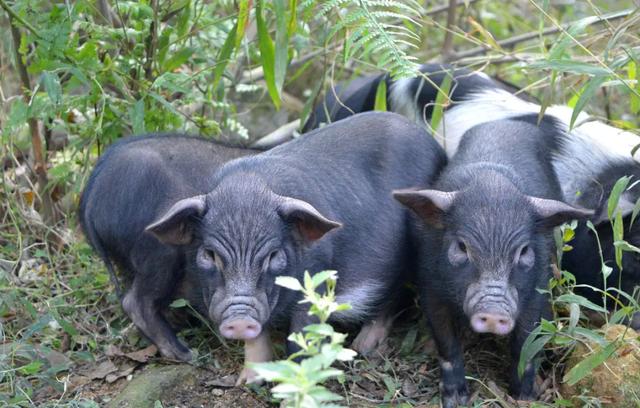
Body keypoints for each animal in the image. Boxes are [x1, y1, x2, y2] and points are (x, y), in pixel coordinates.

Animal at [143, 112, 448, 382]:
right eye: (210, 254)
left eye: (273, 255)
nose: (240, 318)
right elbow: (258, 338)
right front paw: (248, 381)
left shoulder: (319, 276)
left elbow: (301, 337)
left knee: (393, 296)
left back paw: (363, 347)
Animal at [396, 118, 596, 404]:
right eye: (461, 246)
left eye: (523, 251)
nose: (493, 312)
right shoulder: (430, 286)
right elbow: (446, 343)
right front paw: (455, 400)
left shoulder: (536, 289)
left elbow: (526, 344)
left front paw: (524, 397)